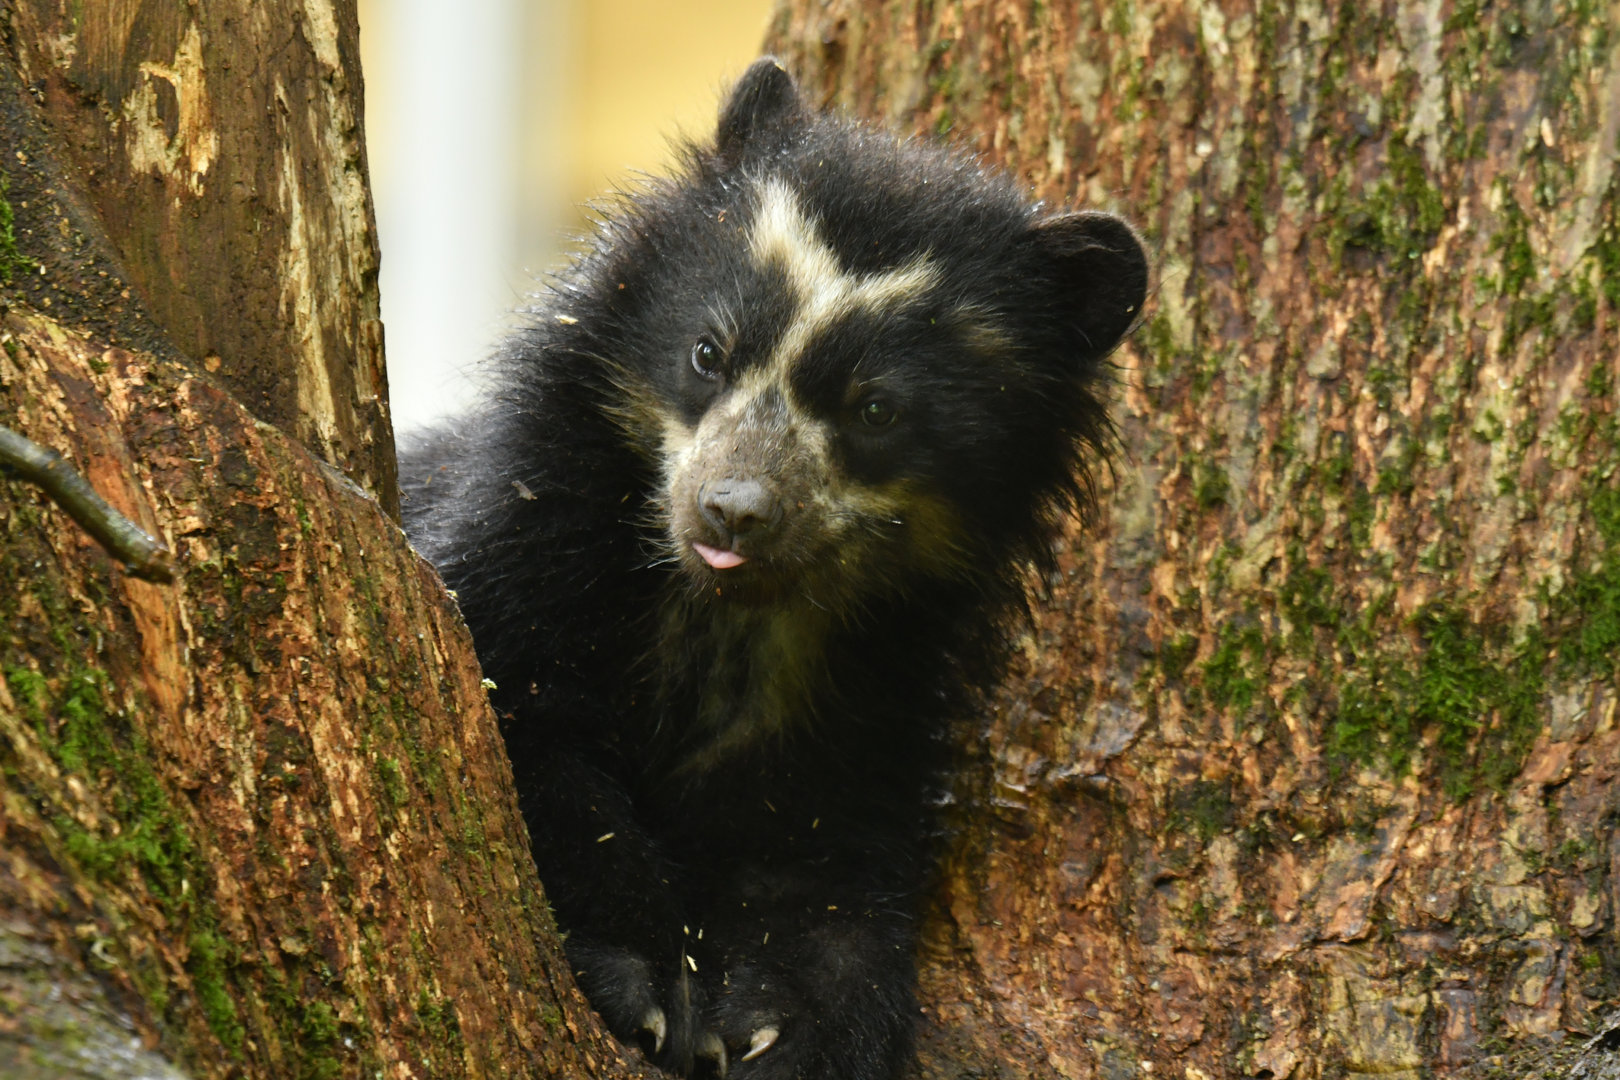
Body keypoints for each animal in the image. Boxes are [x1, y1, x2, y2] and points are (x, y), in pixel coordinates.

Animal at [400, 57, 1147, 1080]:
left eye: (876, 409)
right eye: (707, 352)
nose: (733, 509)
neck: (726, 611)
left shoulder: (867, 685)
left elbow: (819, 867)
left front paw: (787, 1031)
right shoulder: (528, 536)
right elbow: (523, 736)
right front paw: (644, 981)